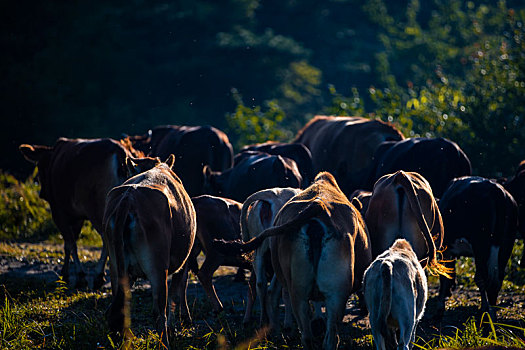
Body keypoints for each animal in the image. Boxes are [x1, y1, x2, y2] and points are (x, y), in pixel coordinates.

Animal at [18, 138, 142, 288]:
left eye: (40, 168)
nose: (42, 193)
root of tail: (120, 152)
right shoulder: (77, 217)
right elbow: (71, 242)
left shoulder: (59, 212)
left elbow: (70, 243)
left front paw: (74, 275)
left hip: (96, 209)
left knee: (106, 238)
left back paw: (98, 276)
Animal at [102, 156, 196, 348]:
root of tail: (129, 197)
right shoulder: (183, 261)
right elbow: (178, 291)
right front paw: (179, 323)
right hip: (157, 268)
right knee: (159, 310)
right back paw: (165, 343)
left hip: (115, 266)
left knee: (119, 307)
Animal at [436, 175, 516, 320]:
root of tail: (496, 190)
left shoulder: (446, 248)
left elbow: (445, 275)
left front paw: (440, 308)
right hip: (506, 245)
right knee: (496, 279)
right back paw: (491, 312)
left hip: (481, 245)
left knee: (486, 278)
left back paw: (489, 313)